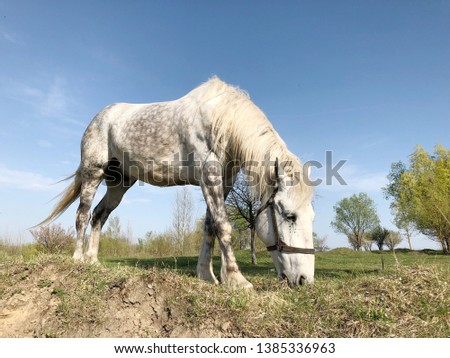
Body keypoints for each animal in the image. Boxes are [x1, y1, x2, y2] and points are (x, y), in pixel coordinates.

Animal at [43, 76, 316, 288]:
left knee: (99, 215)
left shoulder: (224, 183)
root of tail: (100, 117)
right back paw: (78, 259)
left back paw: (93, 261)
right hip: (93, 172)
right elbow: (223, 226)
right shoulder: (209, 177)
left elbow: (210, 226)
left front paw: (207, 275)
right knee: (82, 214)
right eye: (290, 216)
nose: (304, 279)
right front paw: (236, 279)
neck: (220, 121)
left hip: (119, 183)